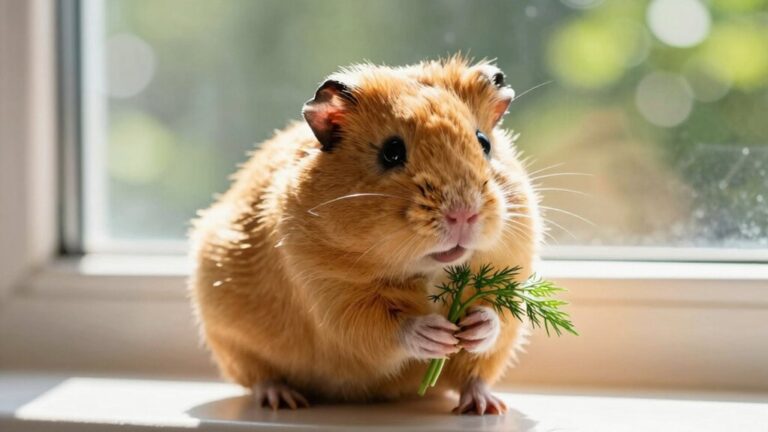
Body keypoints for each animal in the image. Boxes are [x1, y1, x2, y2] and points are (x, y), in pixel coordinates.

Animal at [189, 56, 541, 415]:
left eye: (484, 142)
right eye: (392, 152)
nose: (463, 214)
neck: (431, 269)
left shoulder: (511, 273)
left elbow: (496, 315)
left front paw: (472, 329)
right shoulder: (332, 296)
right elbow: (388, 328)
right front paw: (438, 334)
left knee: (476, 378)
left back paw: (486, 406)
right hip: (233, 341)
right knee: (260, 377)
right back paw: (282, 400)